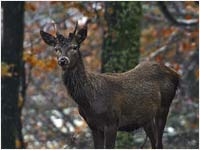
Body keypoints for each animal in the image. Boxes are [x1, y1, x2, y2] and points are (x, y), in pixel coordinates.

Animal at [40, 22, 180, 149]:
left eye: (74, 47)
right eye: (56, 49)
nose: (63, 60)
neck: (89, 100)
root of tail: (176, 74)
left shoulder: (112, 122)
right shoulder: (93, 126)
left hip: (164, 107)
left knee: (159, 143)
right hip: (147, 118)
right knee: (154, 142)